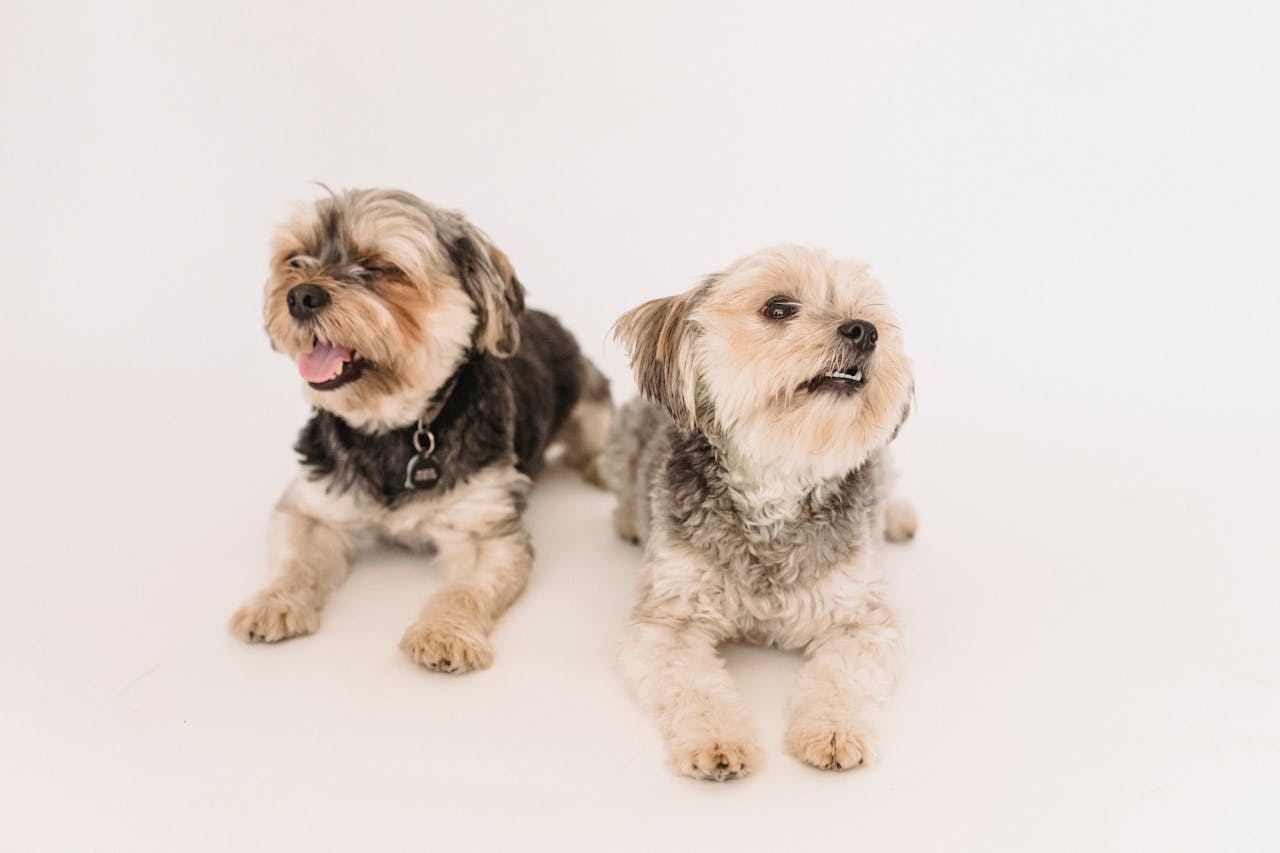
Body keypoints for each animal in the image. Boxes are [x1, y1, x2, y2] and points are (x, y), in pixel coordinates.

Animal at [229, 185, 609, 671]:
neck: (396, 426)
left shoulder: (484, 527)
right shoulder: (312, 506)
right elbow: (295, 559)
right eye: (294, 259)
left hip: (588, 397)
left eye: (379, 266)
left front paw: (445, 632)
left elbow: (464, 590)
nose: (299, 296)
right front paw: (274, 601)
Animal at [601, 242, 921, 773]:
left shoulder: (862, 619)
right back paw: (627, 521)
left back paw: (899, 519)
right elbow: (695, 686)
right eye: (778, 308)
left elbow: (840, 677)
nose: (865, 330)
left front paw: (833, 730)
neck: (777, 484)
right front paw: (717, 740)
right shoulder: (668, 622)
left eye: (870, 314)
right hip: (620, 443)